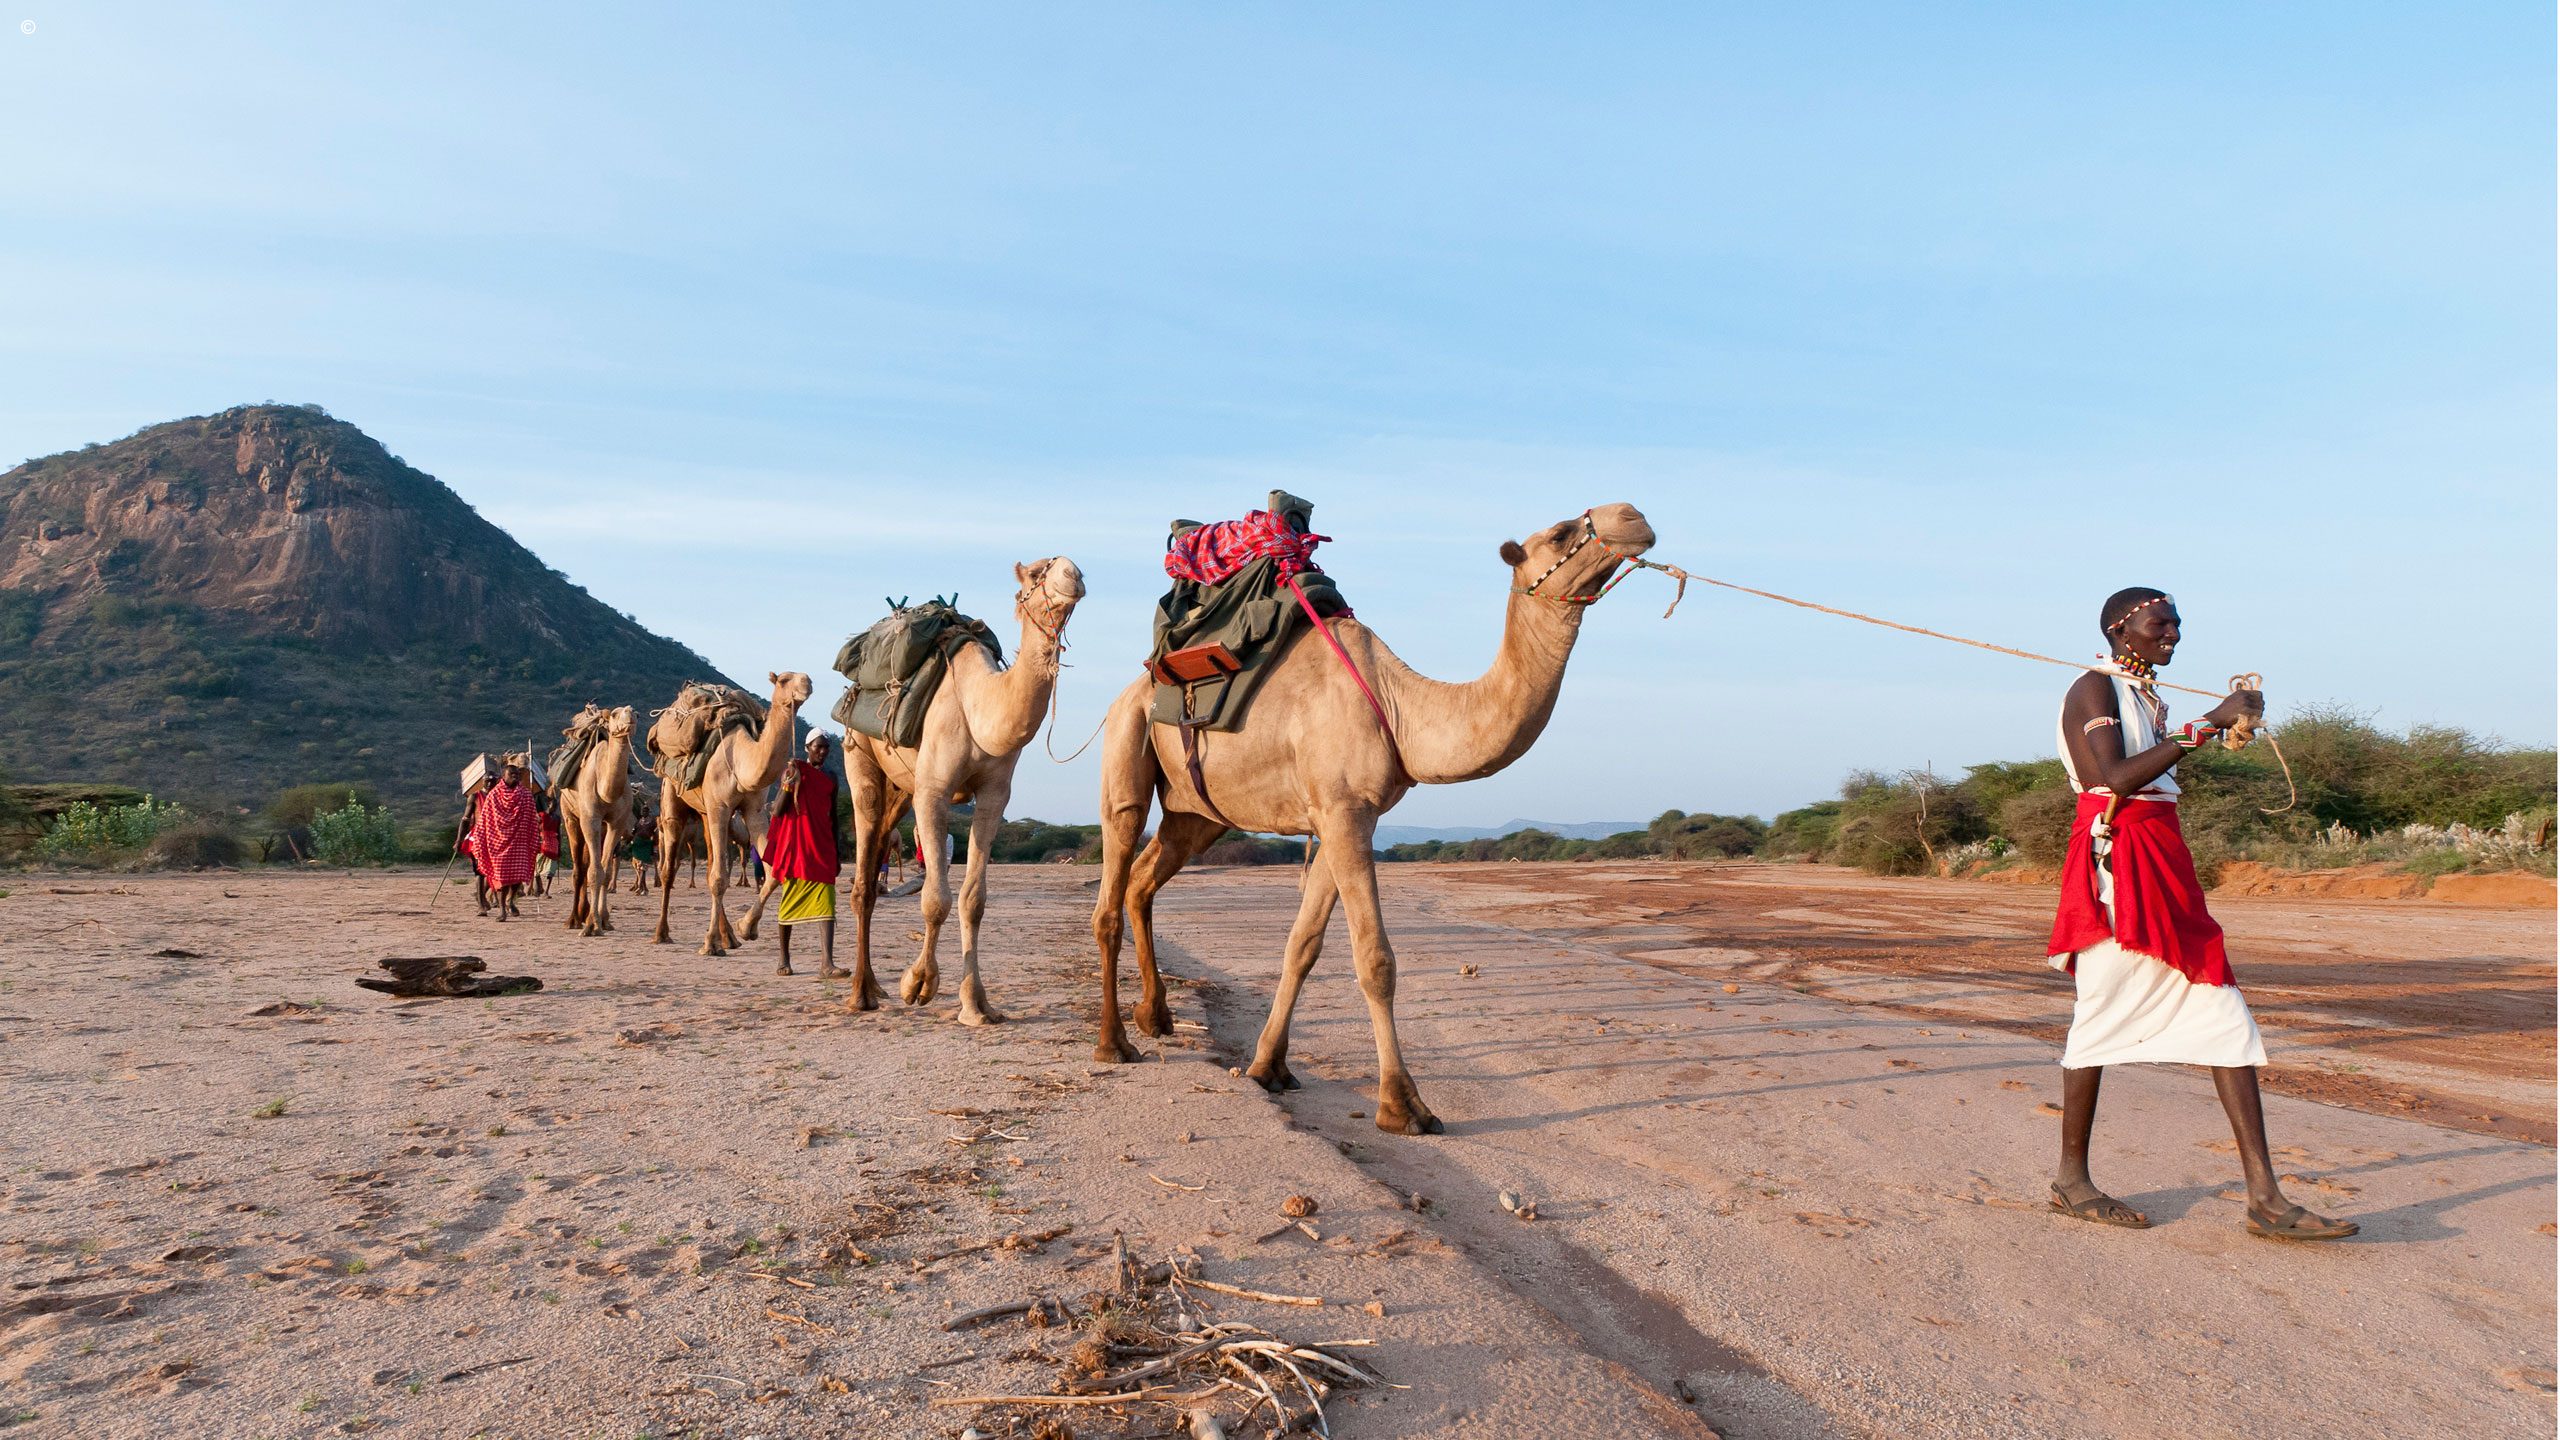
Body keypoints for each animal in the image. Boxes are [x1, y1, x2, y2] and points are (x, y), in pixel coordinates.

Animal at [558, 704, 638, 937]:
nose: (630, 716)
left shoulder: (616, 824)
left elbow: (605, 869)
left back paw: (584, 915)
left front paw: (603, 920)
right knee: (579, 869)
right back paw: (573, 920)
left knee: (588, 864)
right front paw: (591, 925)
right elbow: (594, 871)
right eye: (615, 714)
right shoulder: (590, 819)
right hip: (570, 817)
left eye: (637, 713)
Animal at [651, 672, 811, 956]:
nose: (807, 684)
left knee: (710, 864)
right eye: (783, 679)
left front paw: (746, 928)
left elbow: (772, 870)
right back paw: (662, 933)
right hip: (671, 795)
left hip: (706, 813)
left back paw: (729, 938)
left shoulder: (753, 810)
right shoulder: (721, 807)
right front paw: (709, 944)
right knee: (669, 867)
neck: (740, 760)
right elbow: (718, 879)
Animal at [831, 558, 1086, 1022]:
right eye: (1037, 572)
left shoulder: (995, 795)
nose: (1071, 574)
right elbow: (936, 899)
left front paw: (976, 1004)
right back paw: (860, 994)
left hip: (901, 788)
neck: (979, 706)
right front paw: (918, 984)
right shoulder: (933, 791)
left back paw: (873, 985)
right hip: (858, 754)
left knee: (876, 863)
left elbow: (973, 900)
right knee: (861, 874)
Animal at [1089, 504, 1657, 1135]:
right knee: (1112, 879)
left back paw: (1155, 1016)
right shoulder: (1342, 811)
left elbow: (1303, 944)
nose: (1633, 516)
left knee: (1144, 879)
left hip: (1197, 813)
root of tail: (1135, 687)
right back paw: (1114, 1043)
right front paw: (1403, 1105)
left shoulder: (1347, 816)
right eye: (1560, 533)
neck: (1399, 705)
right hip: (1127, 742)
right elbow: (1375, 958)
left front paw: (1269, 1067)